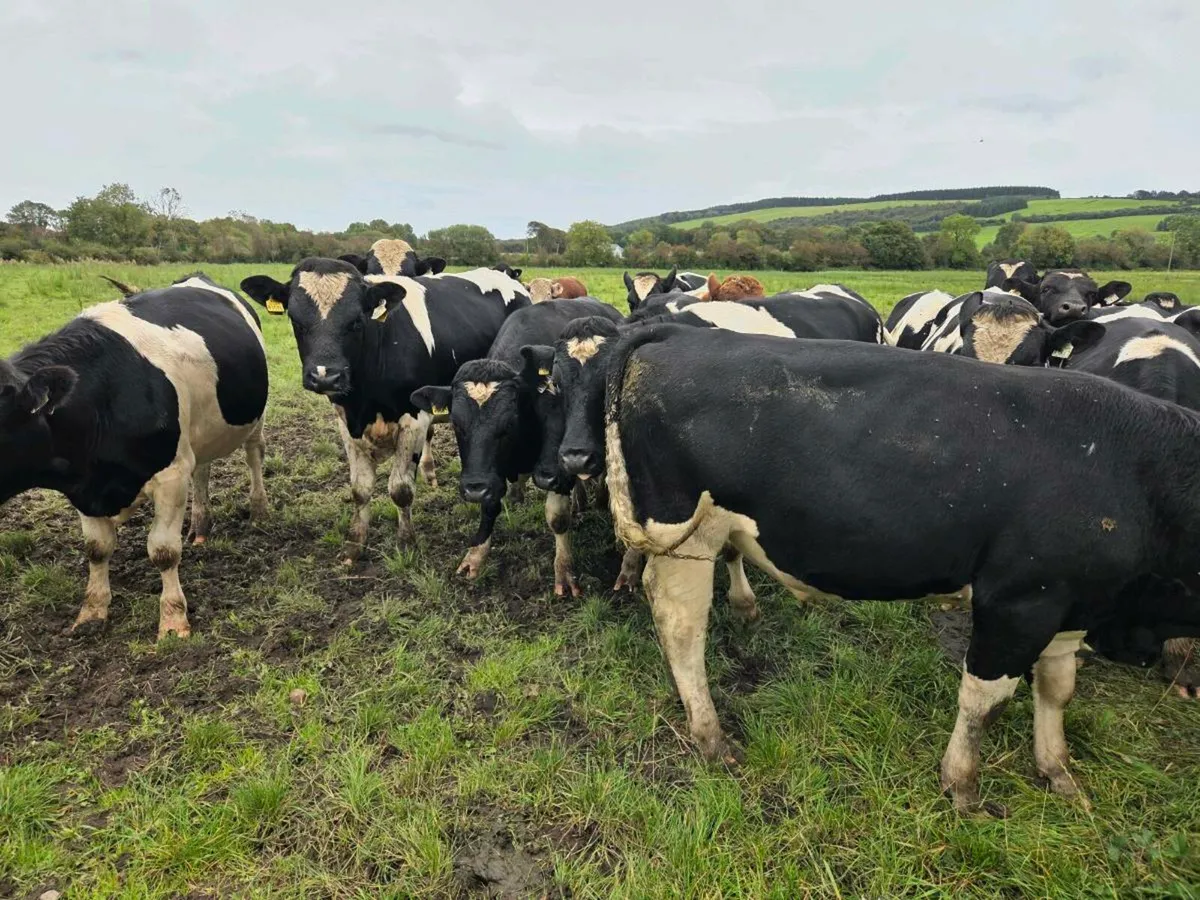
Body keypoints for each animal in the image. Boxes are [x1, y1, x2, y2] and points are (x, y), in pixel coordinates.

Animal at [0, 273, 269, 640]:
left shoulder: (171, 475)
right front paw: (92, 612)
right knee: (203, 469)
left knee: (253, 455)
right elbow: (97, 549)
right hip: (200, 431)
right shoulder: (83, 487)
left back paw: (259, 510)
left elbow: (163, 551)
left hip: (254, 420)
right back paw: (200, 526)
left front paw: (173, 621)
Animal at [240, 258, 529, 564]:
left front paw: (406, 542)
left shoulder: (414, 420)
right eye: (295, 320)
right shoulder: (347, 423)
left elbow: (401, 490)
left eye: (356, 321)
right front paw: (355, 544)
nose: (324, 377)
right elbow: (360, 489)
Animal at [410, 298, 623, 592]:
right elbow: (489, 507)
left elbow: (557, 518)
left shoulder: (557, 467)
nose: (473, 488)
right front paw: (475, 556)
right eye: (456, 424)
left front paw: (564, 570)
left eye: (509, 422)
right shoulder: (489, 471)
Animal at [601, 322, 1200, 814]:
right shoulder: (1018, 601)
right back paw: (711, 736)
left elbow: (1057, 689)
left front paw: (1058, 772)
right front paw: (963, 786)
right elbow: (985, 701)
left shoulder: (1071, 604)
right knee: (681, 629)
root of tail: (678, 333)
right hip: (684, 534)